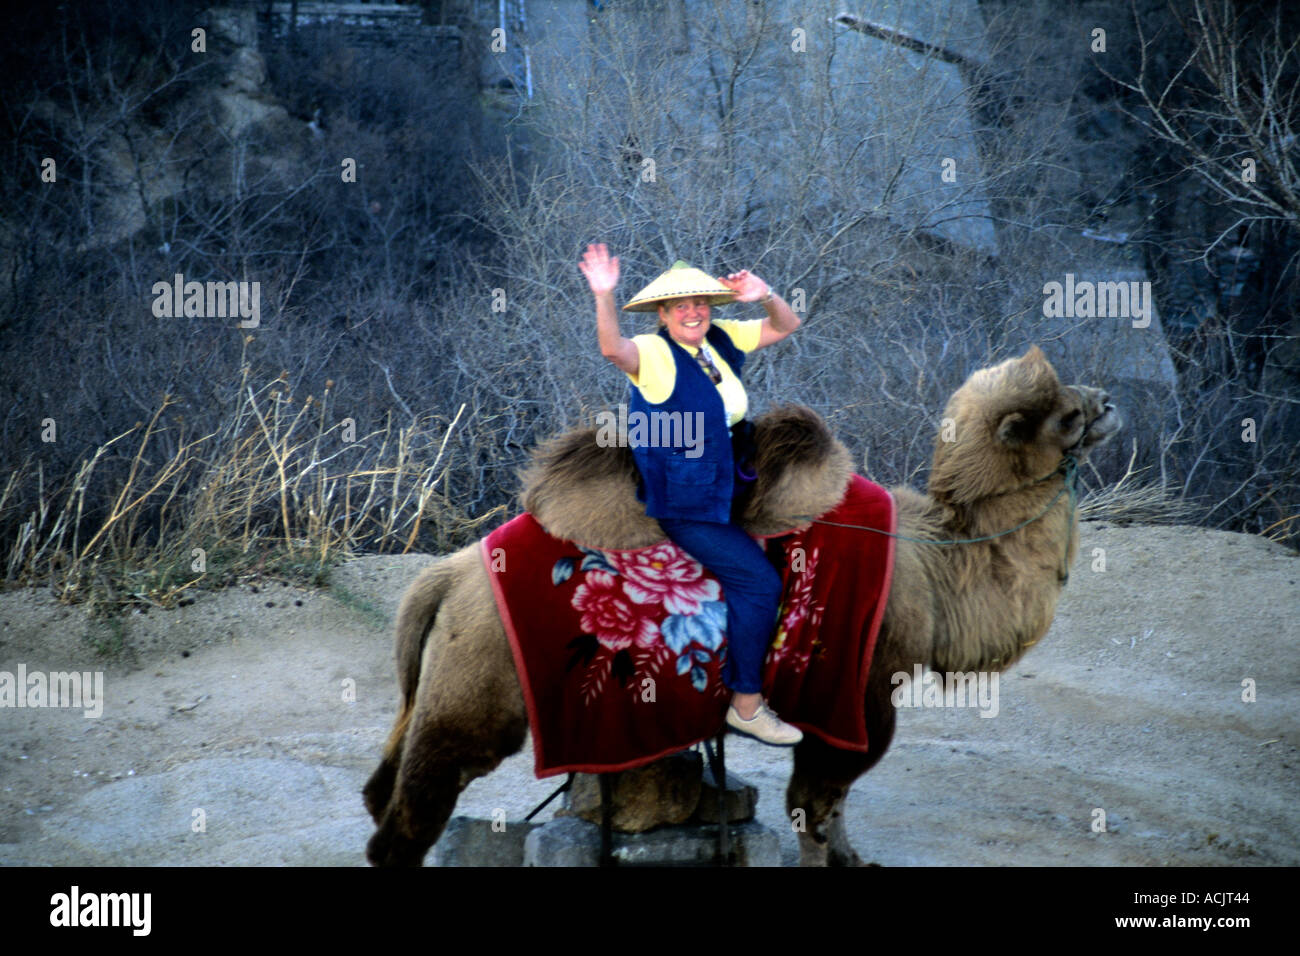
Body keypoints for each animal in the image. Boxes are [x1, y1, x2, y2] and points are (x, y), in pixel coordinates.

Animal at [364, 345, 1118, 868]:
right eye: (1064, 416)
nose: (1109, 401)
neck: (937, 568)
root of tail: (445, 579)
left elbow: (829, 802)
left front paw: (855, 860)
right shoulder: (860, 690)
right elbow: (817, 801)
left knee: (383, 790)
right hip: (476, 687)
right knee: (413, 810)